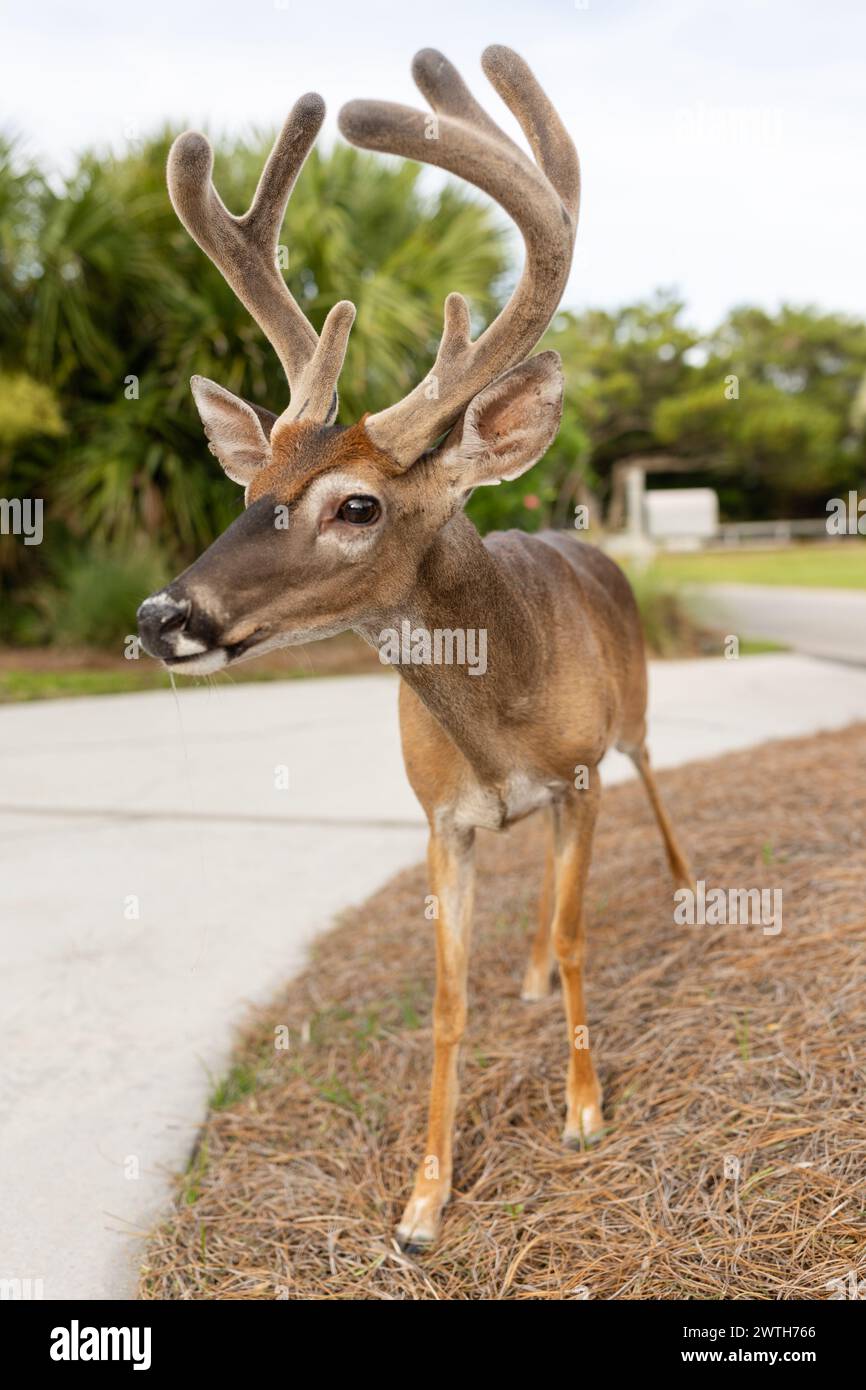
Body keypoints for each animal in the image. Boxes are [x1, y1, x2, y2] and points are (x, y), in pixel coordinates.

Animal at [136, 48, 692, 1256]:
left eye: (355, 504)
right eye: (247, 491)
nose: (162, 616)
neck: (501, 725)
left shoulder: (578, 773)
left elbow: (581, 938)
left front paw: (583, 1111)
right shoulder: (441, 816)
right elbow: (448, 999)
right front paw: (424, 1203)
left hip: (631, 720)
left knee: (654, 783)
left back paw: (683, 887)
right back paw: (525, 974)